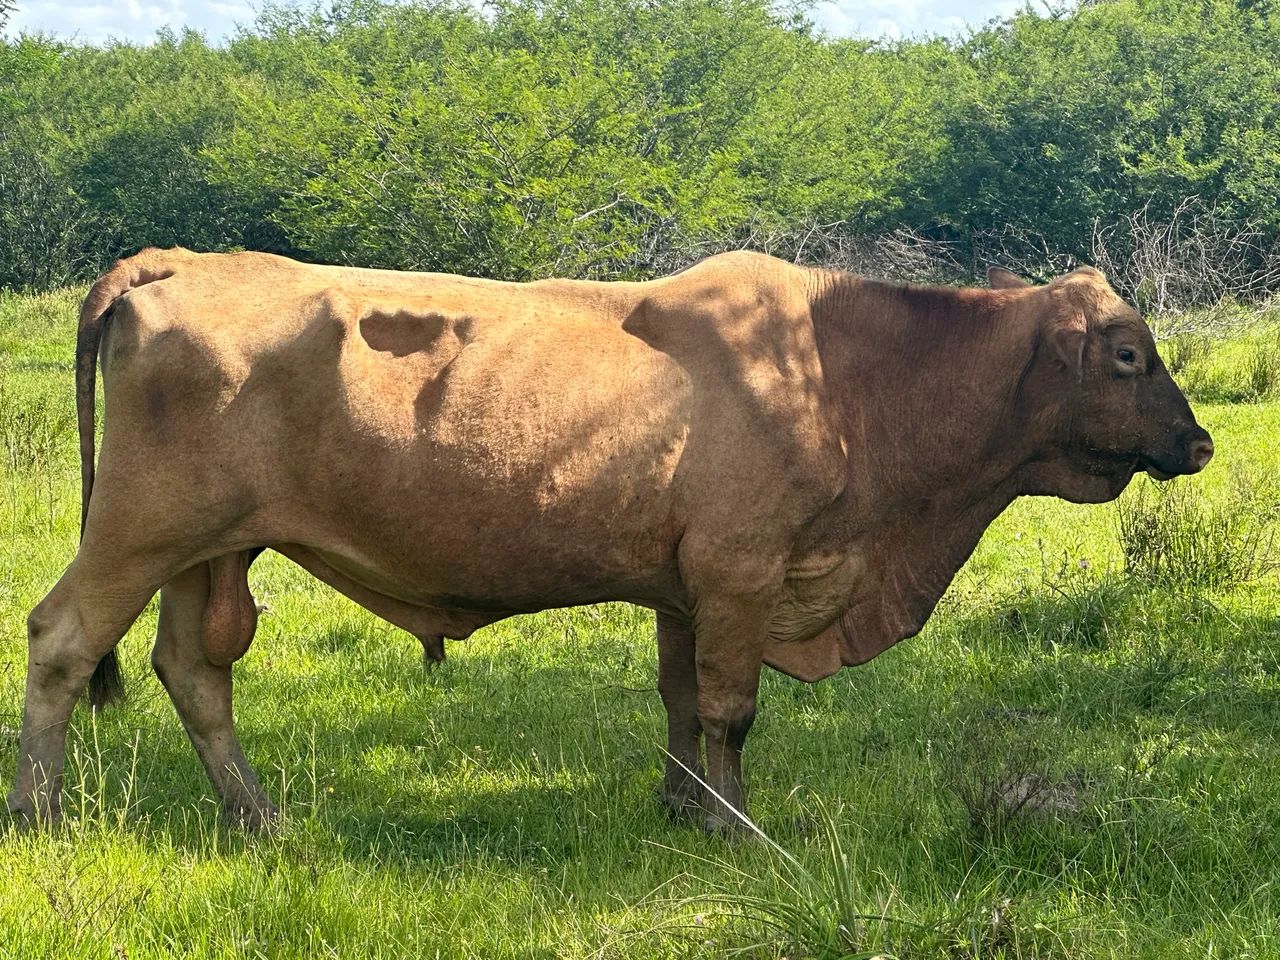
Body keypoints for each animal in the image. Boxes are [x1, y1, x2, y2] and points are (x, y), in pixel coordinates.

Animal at [7, 248, 1213, 833]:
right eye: (1125, 354)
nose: (1197, 441)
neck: (845, 371)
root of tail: (174, 261)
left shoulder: (686, 588)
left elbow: (682, 702)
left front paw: (682, 806)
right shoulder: (739, 573)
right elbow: (731, 708)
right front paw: (734, 826)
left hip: (209, 551)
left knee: (193, 672)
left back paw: (261, 817)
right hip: (139, 529)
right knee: (62, 639)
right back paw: (41, 811)